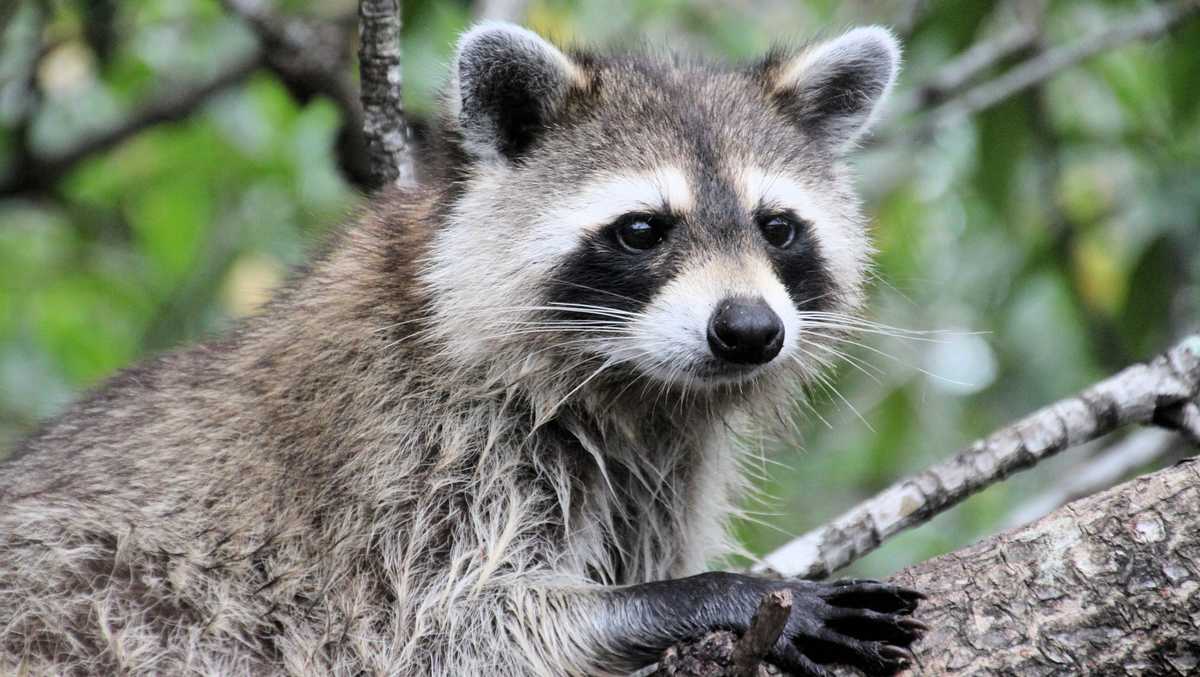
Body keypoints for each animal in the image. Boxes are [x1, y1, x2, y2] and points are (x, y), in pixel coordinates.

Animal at [0, 22, 923, 677]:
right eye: (641, 230)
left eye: (777, 228)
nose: (749, 330)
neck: (633, 388)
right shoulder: (410, 456)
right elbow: (456, 626)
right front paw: (711, 597)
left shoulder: (660, 469)